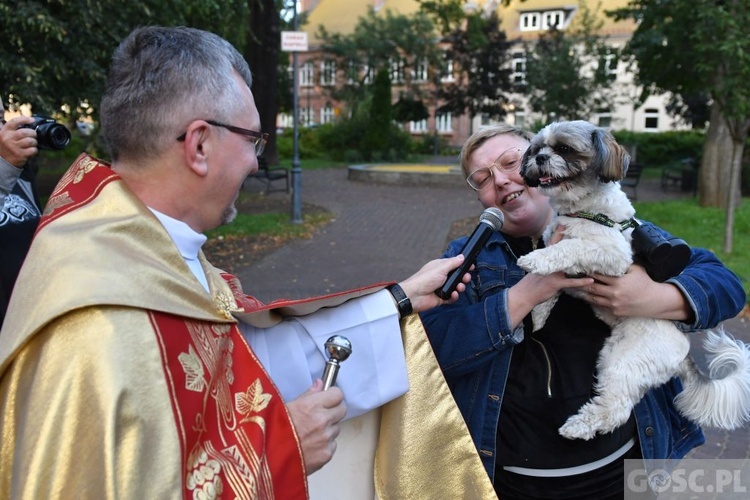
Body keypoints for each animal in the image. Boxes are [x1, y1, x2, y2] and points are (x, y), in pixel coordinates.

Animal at [516, 121, 750, 442]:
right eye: (538, 148)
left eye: (564, 148)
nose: (540, 158)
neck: (582, 209)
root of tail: (683, 350)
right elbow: (551, 285)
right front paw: (539, 315)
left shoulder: (612, 255)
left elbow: (570, 248)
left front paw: (535, 260)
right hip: (617, 356)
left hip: (625, 361)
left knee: (615, 409)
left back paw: (577, 427)